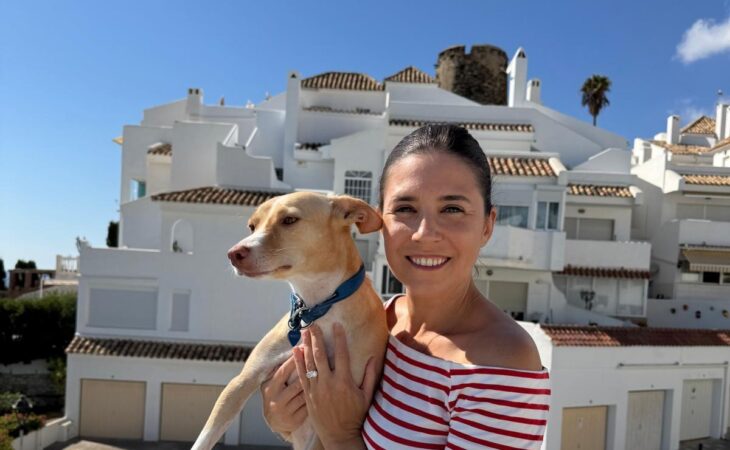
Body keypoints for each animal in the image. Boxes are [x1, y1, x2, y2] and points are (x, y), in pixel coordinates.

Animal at [191, 192, 389, 450]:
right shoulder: (242, 381)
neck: (317, 308)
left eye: (289, 220)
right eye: (252, 226)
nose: (234, 253)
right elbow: (206, 435)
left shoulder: (327, 416)